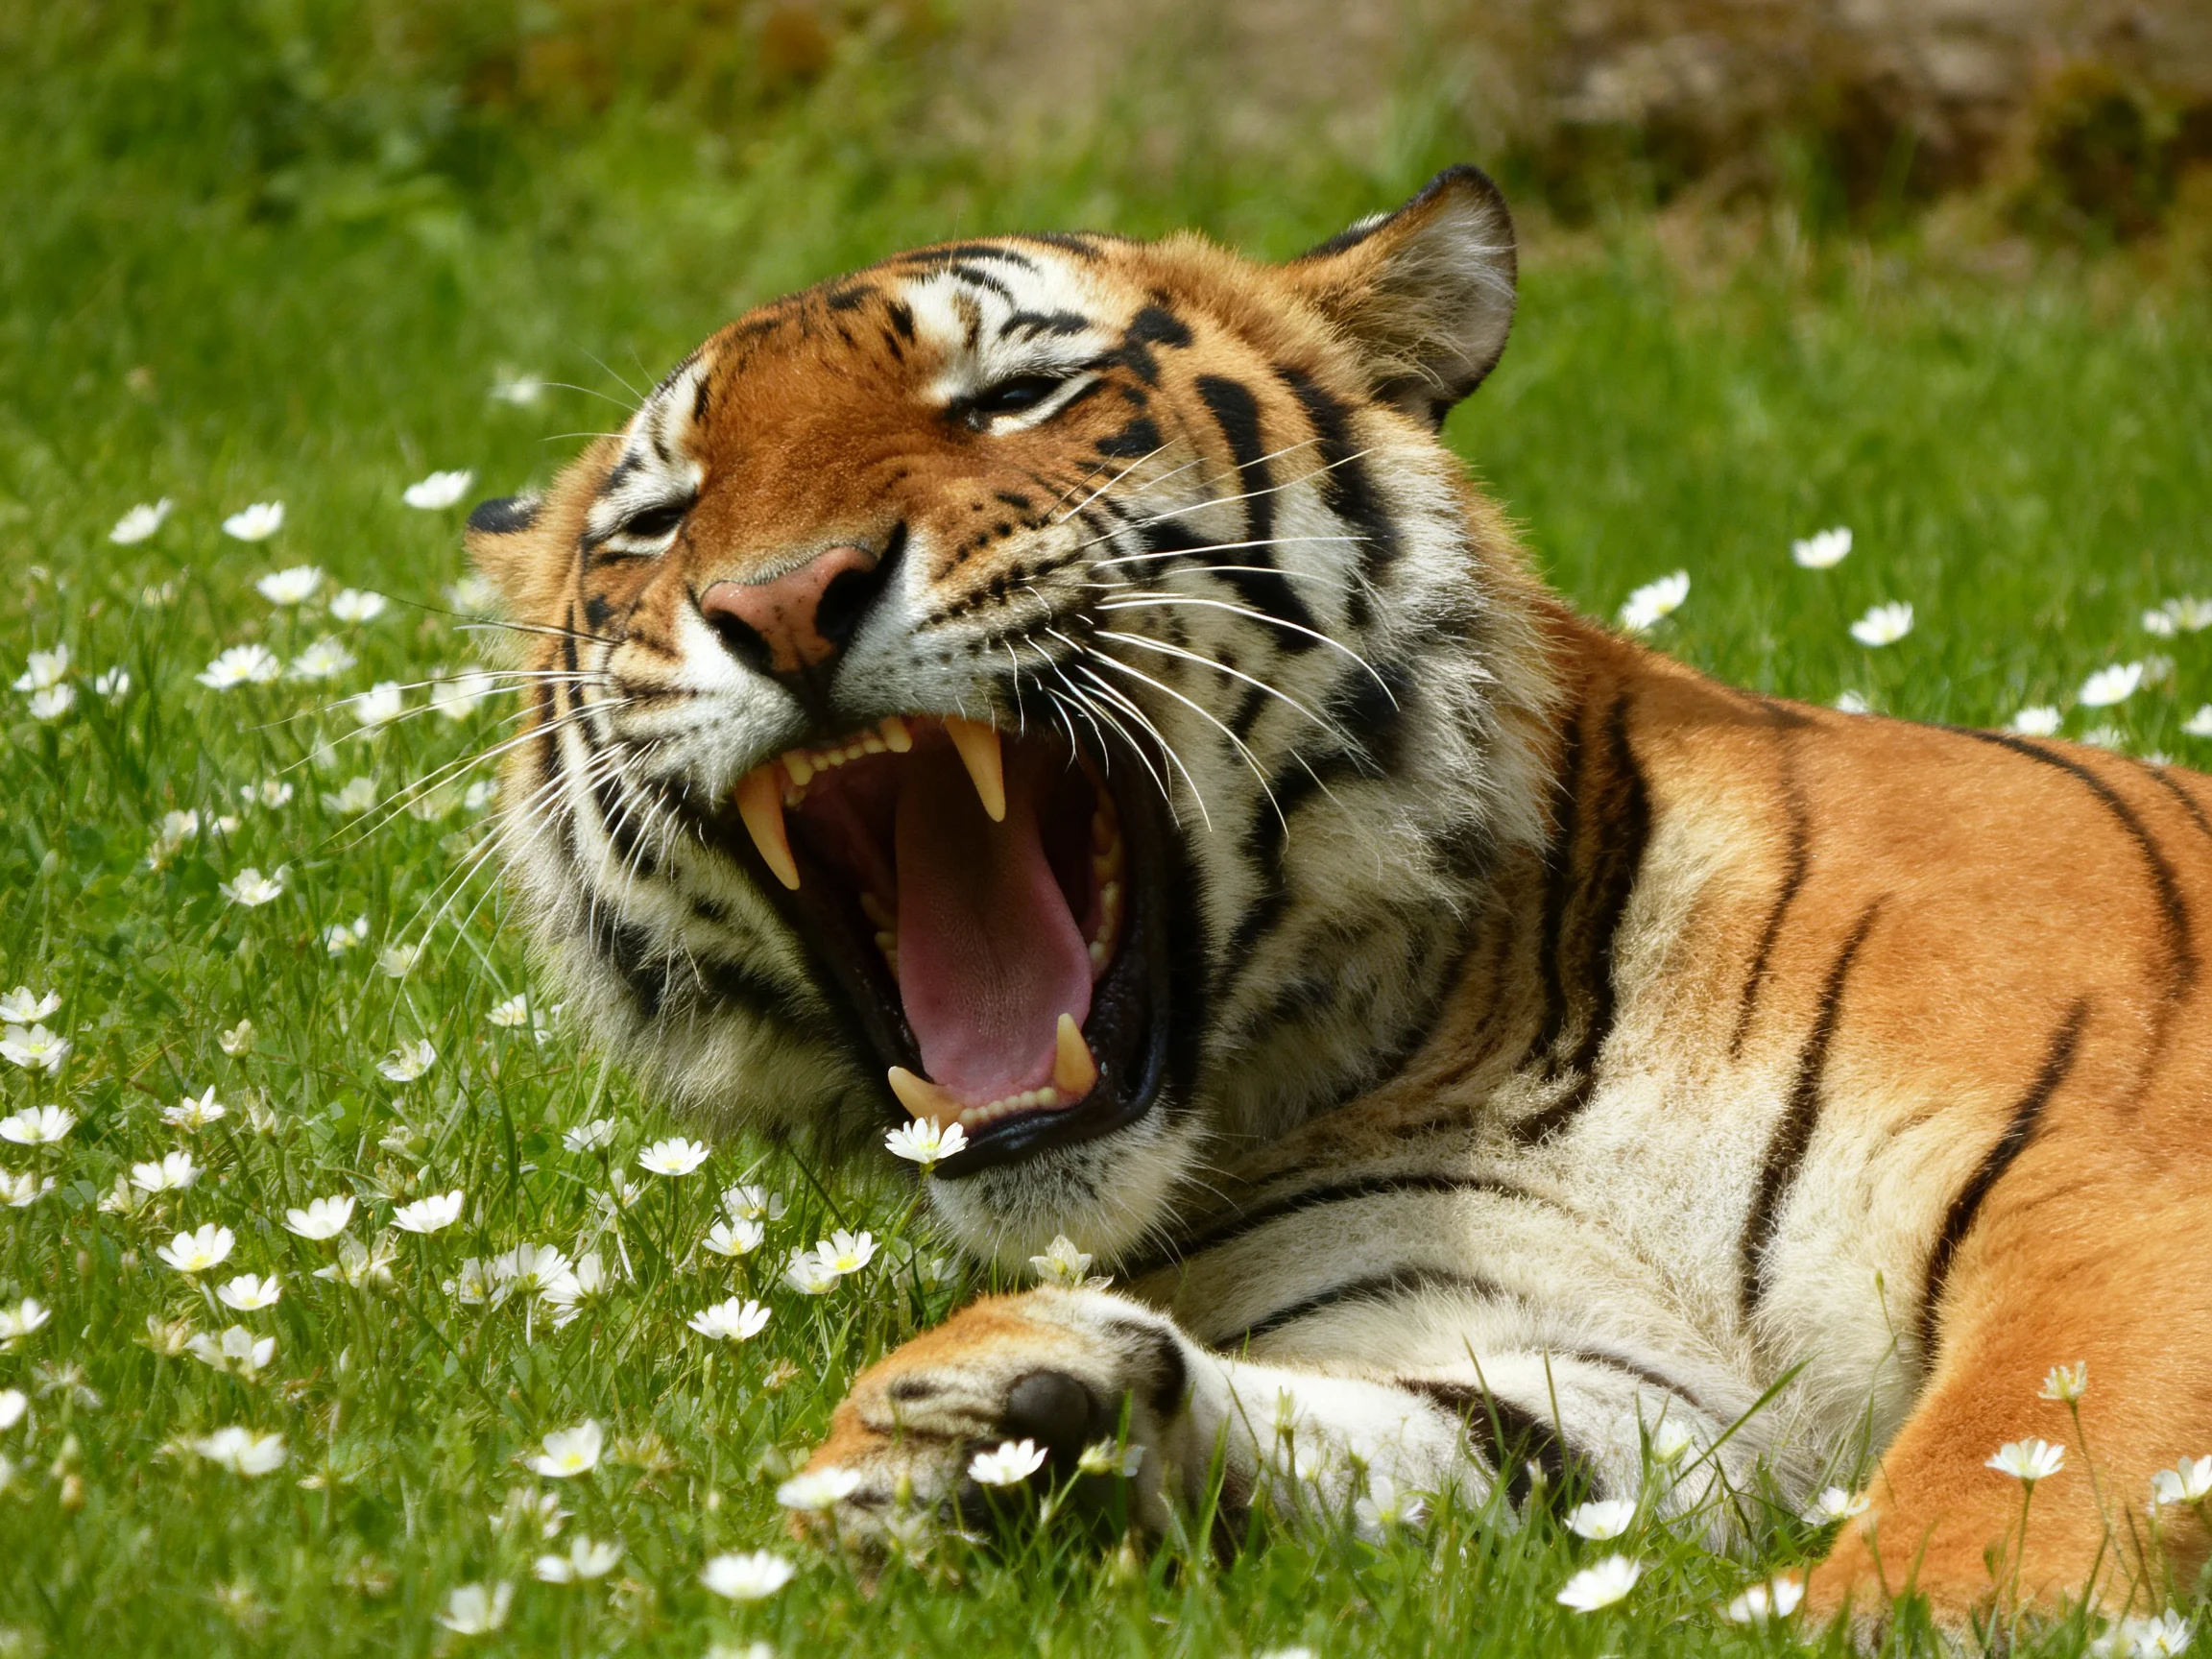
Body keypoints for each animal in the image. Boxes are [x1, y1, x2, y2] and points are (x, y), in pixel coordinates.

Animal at [462, 163, 2212, 1641]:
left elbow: (1987, 1492)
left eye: (1015, 397)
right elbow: (1454, 1445)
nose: (779, 599)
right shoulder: (1572, 1361)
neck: (1474, 1013)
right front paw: (975, 1427)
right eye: (657, 520)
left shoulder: (2109, 1201)